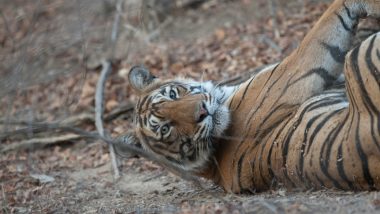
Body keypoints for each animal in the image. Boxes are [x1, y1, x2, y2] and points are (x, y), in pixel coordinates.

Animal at [115, 0, 380, 194]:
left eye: (173, 94)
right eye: (165, 129)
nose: (202, 111)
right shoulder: (291, 74)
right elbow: (325, 23)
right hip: (361, 54)